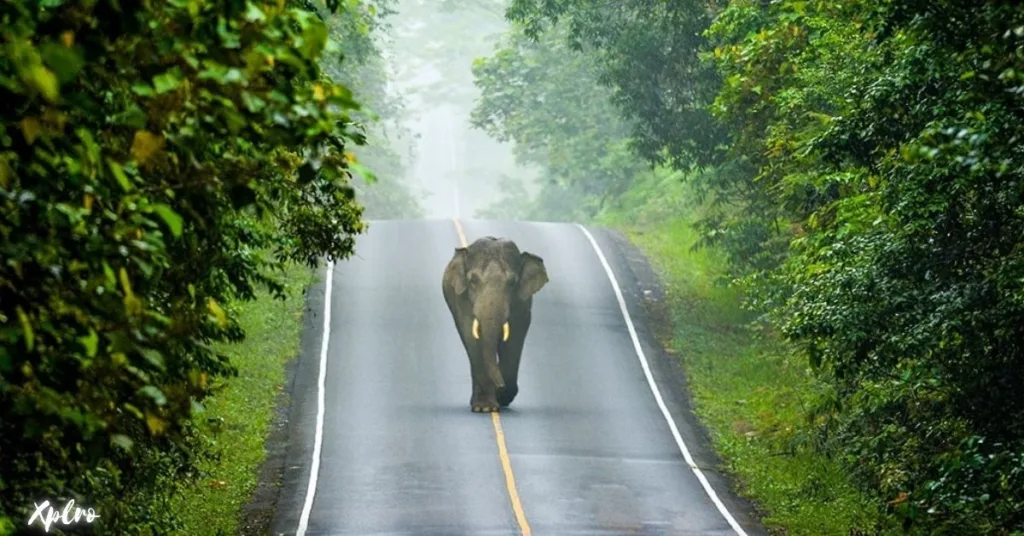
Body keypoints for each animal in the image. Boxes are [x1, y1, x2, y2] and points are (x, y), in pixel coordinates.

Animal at [442, 236, 548, 414]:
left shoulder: (522, 303)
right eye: (473, 281)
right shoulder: (462, 299)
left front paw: (502, 396)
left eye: (512, 282)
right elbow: (471, 336)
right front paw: (484, 407)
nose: (500, 386)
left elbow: (514, 338)